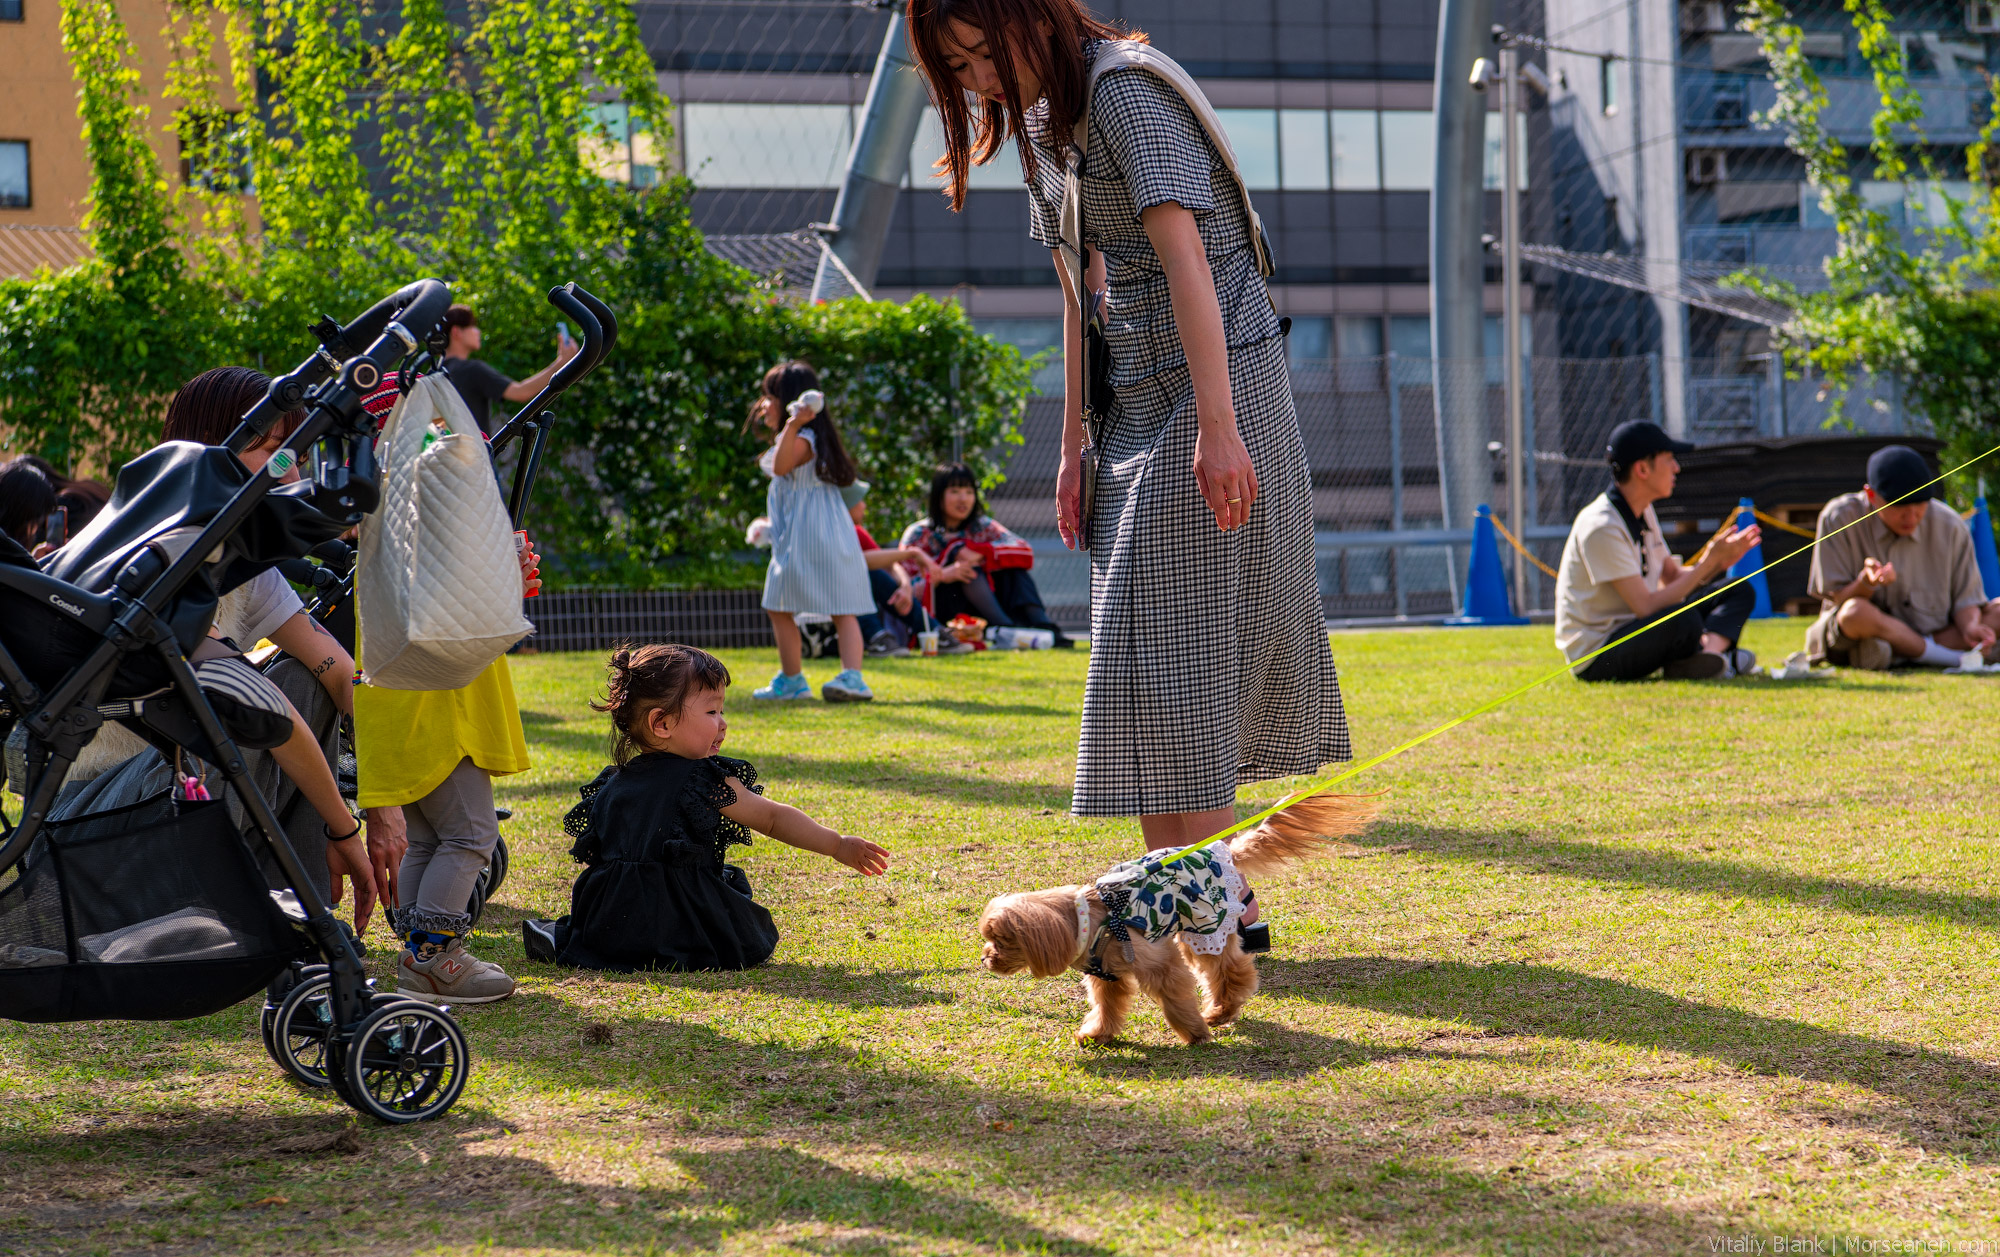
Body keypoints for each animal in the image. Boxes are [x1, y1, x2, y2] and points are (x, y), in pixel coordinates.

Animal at [980, 796, 1376, 1048]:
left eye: (1001, 941)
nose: (984, 958)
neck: (1097, 920)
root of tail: (1222, 849)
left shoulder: (1160, 966)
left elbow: (1175, 1001)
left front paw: (1195, 1033)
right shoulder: (1107, 977)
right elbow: (1107, 1007)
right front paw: (1096, 1035)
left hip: (1208, 927)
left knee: (1233, 972)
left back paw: (1218, 1012)